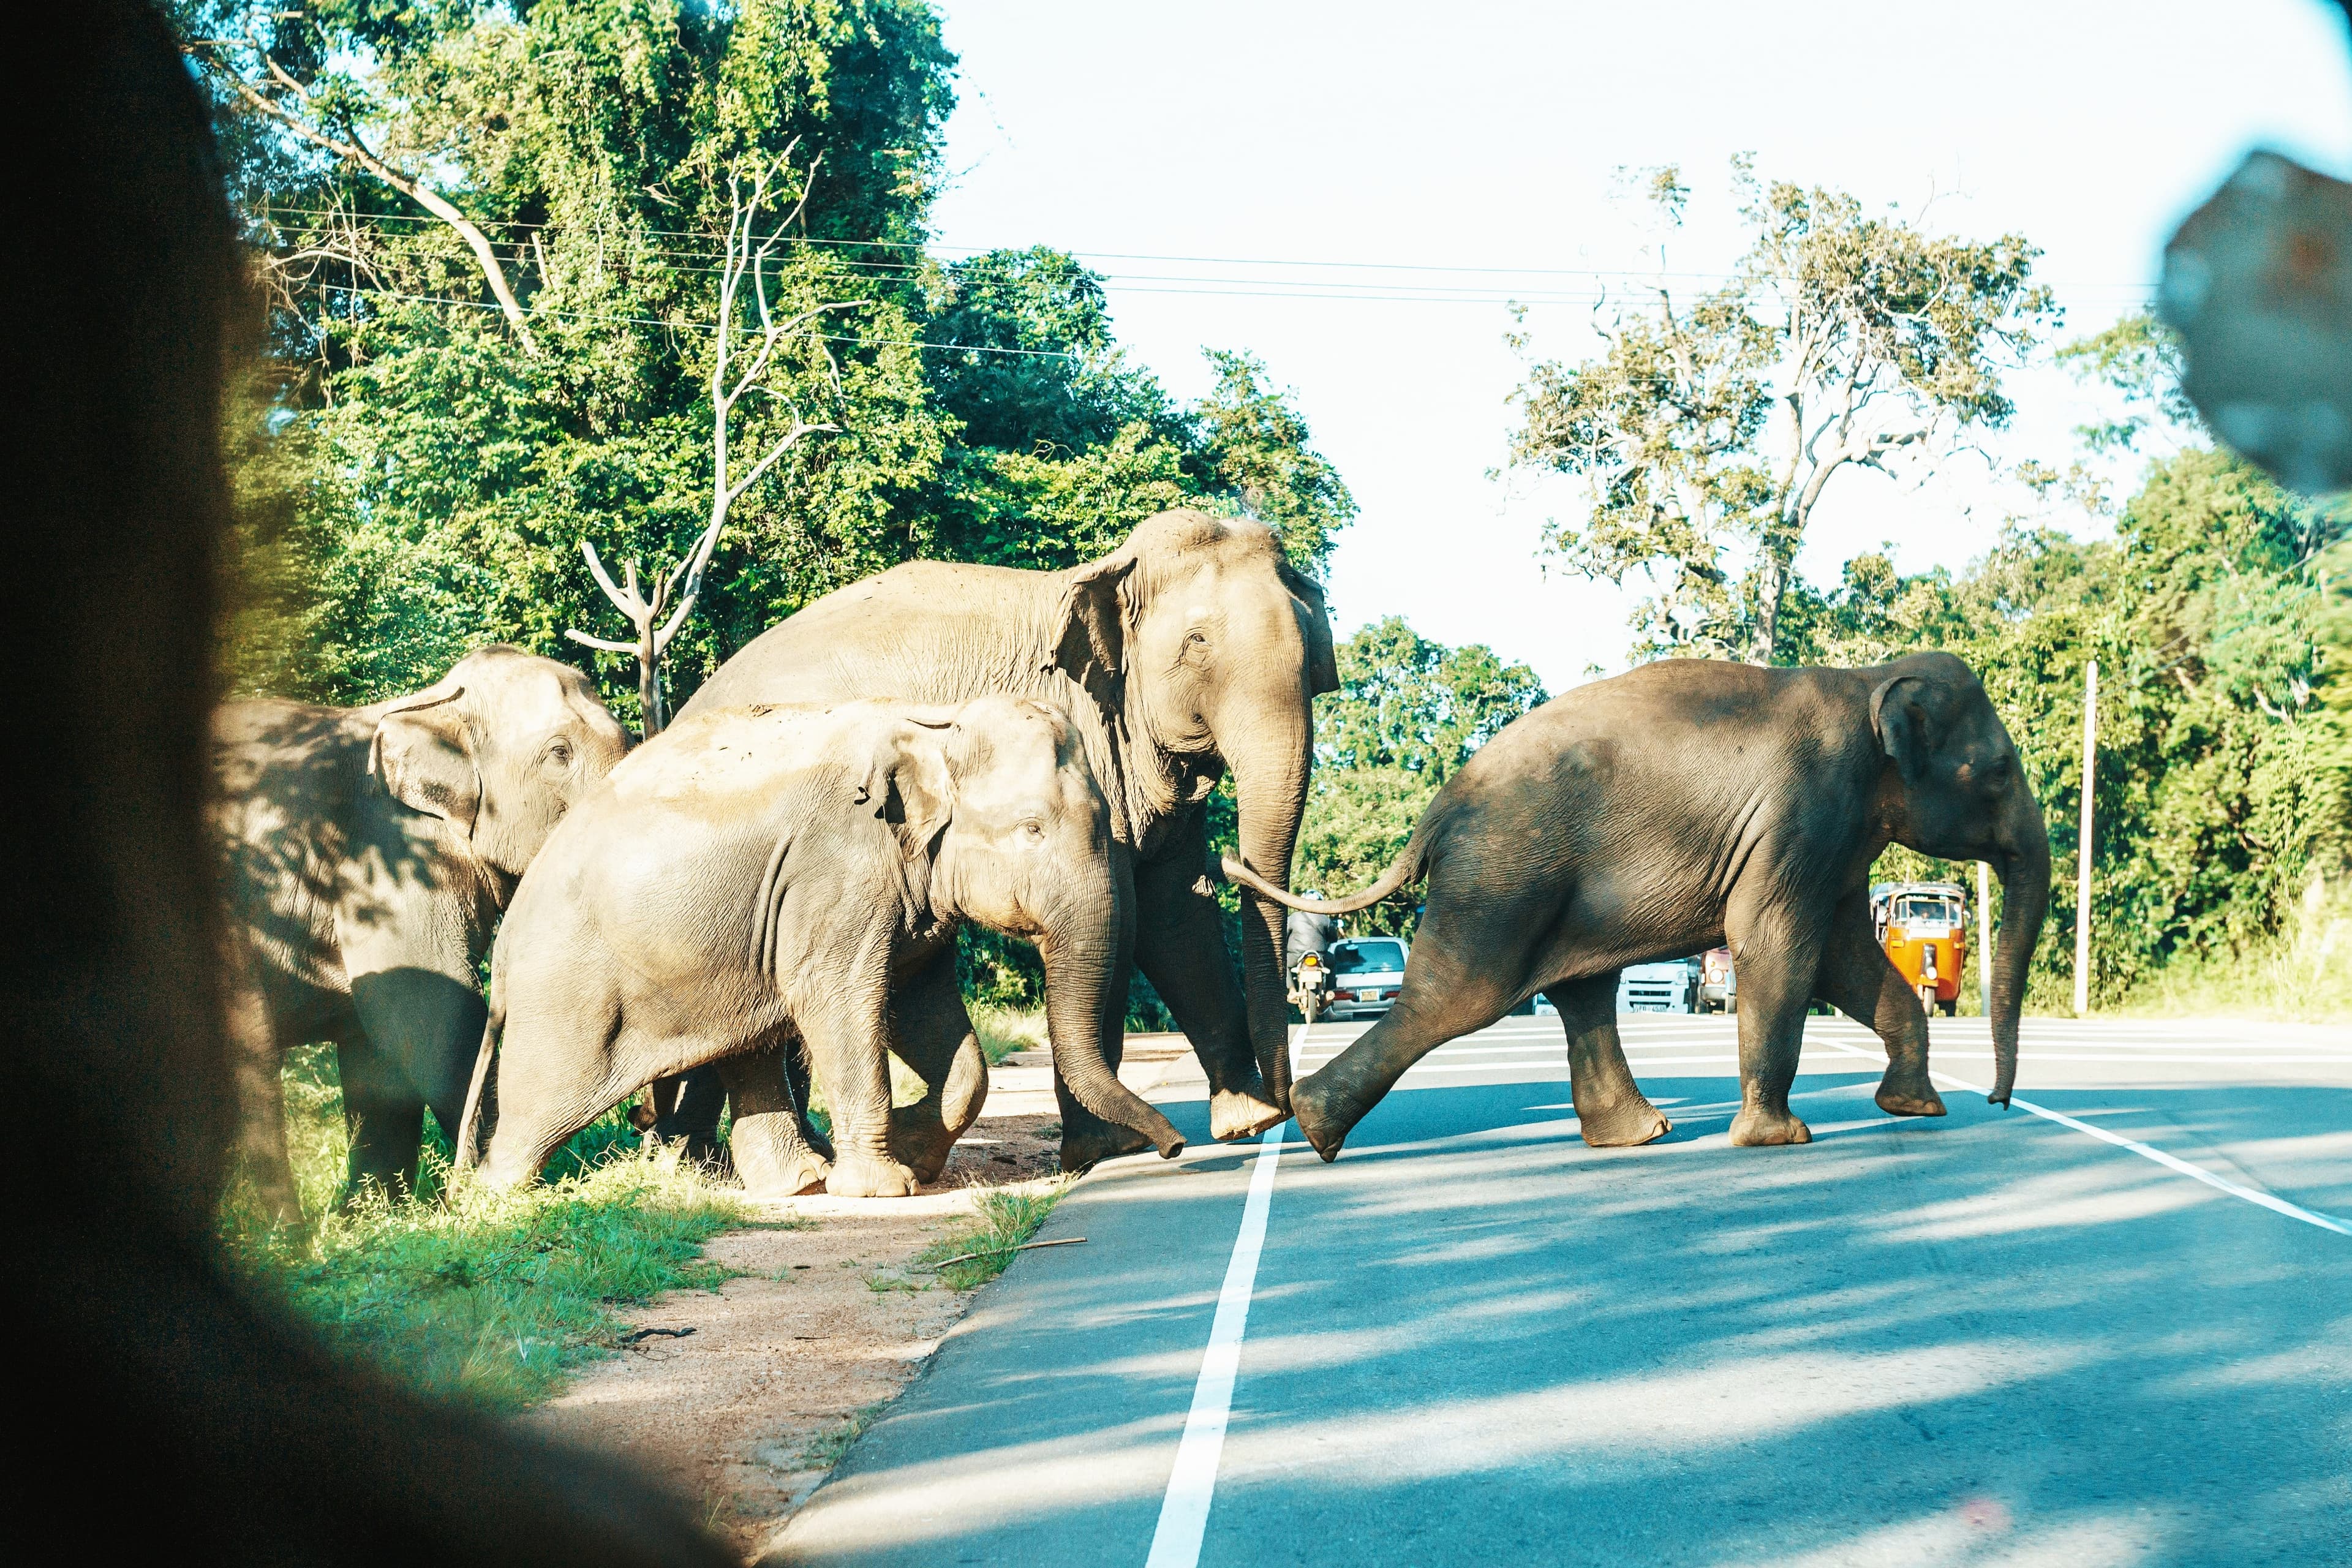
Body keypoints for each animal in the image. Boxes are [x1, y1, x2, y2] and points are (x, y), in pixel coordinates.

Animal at [212, 645, 631, 1217]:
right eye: (559, 755)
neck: (431, 708)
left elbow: (377, 1054)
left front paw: (372, 1215)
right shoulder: (385, 859)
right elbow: (429, 1011)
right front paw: (483, 1187)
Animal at [456, 696, 1185, 1198]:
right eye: (1032, 828)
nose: (1176, 1149)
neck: (933, 723)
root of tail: (507, 946)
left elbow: (926, 1010)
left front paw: (912, 1154)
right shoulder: (837, 869)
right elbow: (838, 997)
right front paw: (885, 1188)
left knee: (744, 1046)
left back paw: (800, 1182)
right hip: (568, 989)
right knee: (541, 1100)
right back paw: (494, 1201)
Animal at [667, 508, 1339, 1172]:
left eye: (1311, 646)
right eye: (1197, 642)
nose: (1293, 1108)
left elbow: (1175, 907)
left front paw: (1245, 1121)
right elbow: (1125, 917)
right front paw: (1108, 1150)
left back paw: (713, 1159)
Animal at [1222, 651, 2052, 1162]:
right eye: (2000, 771)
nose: (1998, 1100)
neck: (1869, 681)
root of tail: (1435, 812)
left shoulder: (1837, 841)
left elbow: (1846, 961)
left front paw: (1916, 1110)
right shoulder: (1803, 812)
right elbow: (1777, 946)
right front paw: (1781, 1140)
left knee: (1579, 993)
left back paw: (1642, 1134)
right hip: (1501, 880)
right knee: (1455, 999)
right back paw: (1316, 1128)